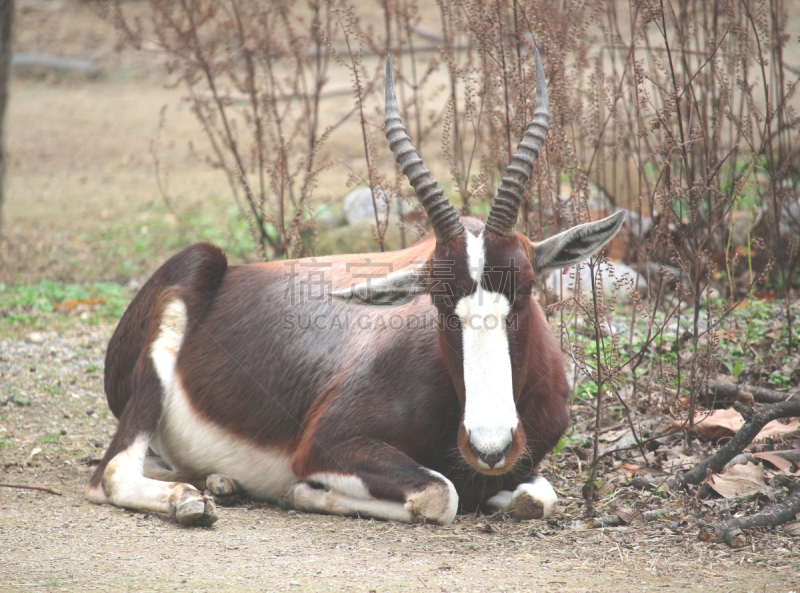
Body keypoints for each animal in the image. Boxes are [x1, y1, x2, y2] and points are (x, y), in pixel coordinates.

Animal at [87, 51, 624, 524]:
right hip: (181, 299)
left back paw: (220, 482)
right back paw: (190, 501)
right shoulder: (327, 447)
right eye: (438, 300)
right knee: (109, 474)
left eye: (526, 288)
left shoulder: (523, 467)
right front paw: (303, 493)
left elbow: (537, 497)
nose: (489, 446)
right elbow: (441, 494)